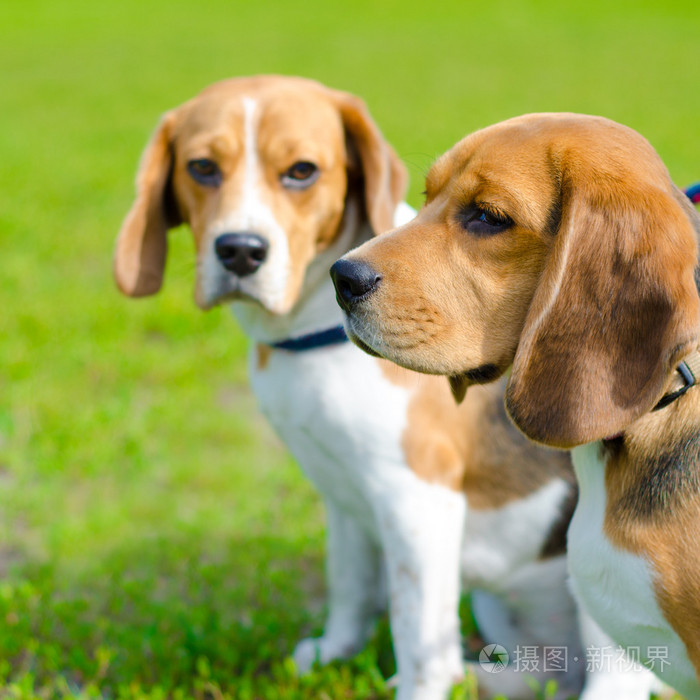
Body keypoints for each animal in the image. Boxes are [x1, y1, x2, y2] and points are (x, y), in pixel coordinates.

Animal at [116, 82, 644, 700]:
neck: (308, 335)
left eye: (302, 172)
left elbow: (415, 631)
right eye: (201, 167)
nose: (241, 251)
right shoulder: (342, 492)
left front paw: (417, 685)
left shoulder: (417, 500)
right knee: (549, 675)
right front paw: (333, 654)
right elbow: (348, 584)